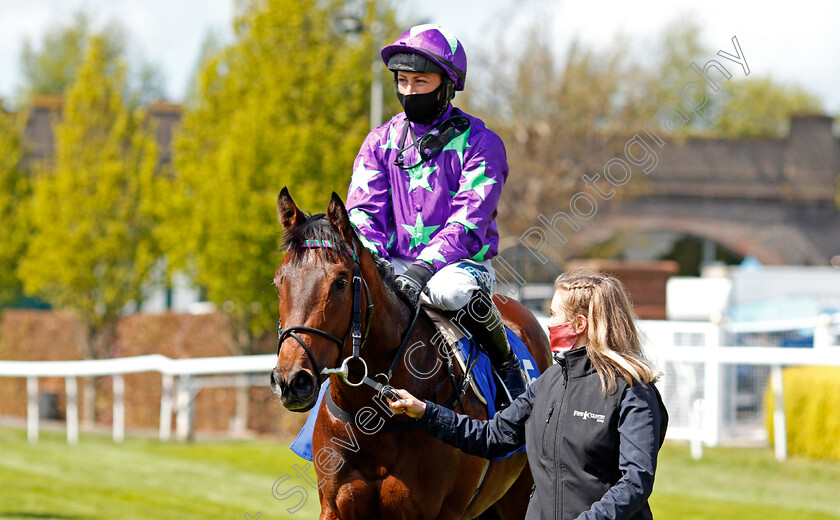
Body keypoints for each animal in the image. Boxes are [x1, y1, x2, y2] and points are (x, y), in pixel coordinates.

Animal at [272, 188, 556, 520]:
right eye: (278, 283)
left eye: (340, 282)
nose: (292, 381)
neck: (372, 421)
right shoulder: (335, 507)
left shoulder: (439, 512)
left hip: (520, 496)